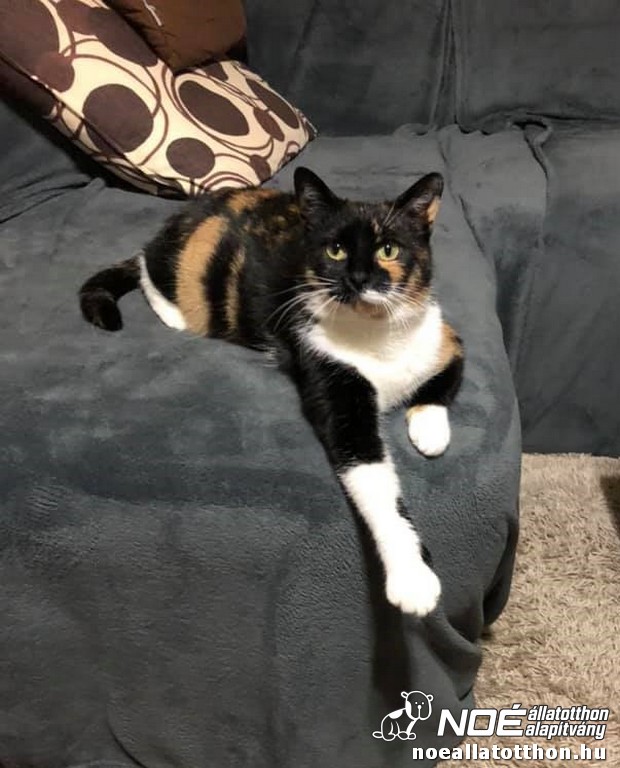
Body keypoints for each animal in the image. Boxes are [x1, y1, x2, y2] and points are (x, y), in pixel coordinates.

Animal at [79, 167, 463, 617]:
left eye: (389, 248)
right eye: (335, 250)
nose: (358, 278)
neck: (377, 335)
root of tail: (187, 212)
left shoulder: (443, 339)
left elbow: (444, 382)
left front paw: (430, 431)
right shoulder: (332, 386)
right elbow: (375, 483)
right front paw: (412, 578)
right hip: (190, 269)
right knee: (145, 264)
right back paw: (173, 314)